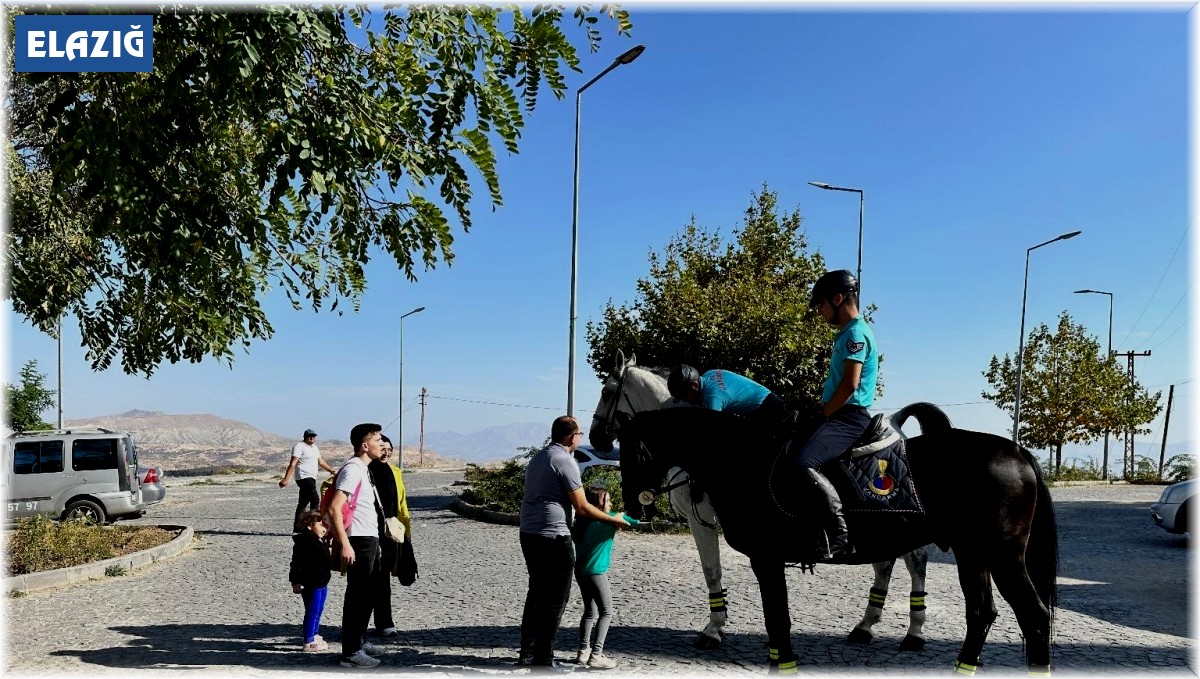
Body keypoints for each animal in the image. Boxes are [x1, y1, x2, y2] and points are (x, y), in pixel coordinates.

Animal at [585, 355, 931, 652]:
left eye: (606, 391)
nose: (597, 439)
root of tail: (895, 425)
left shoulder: (703, 521)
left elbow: (712, 572)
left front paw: (714, 629)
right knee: (886, 563)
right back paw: (865, 626)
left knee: (915, 562)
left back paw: (913, 632)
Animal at [619, 405, 1060, 676]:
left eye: (632, 451)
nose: (633, 504)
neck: (740, 460)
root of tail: (1017, 452)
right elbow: (776, 621)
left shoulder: (766, 558)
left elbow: (777, 620)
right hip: (973, 554)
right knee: (982, 613)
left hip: (1002, 556)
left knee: (1034, 616)